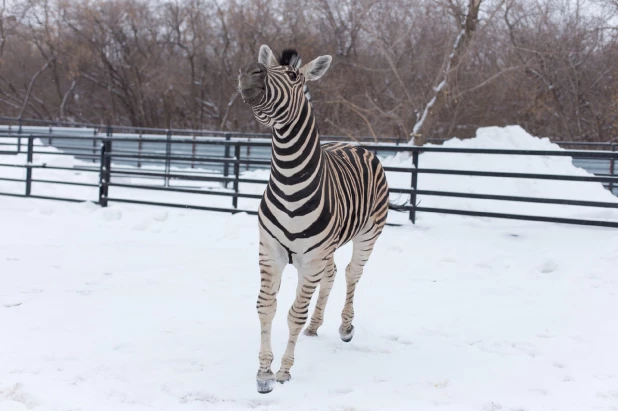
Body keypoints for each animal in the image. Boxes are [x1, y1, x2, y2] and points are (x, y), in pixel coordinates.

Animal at [238, 45, 392, 396]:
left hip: (368, 234)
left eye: (294, 76)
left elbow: (295, 313)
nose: (250, 71)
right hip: (326, 250)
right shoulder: (271, 251)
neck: (289, 179)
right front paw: (263, 374)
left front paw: (283, 371)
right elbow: (266, 307)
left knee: (351, 273)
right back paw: (315, 325)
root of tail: (353, 143)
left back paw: (345, 326)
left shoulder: (310, 259)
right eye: (264, 68)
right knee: (332, 275)